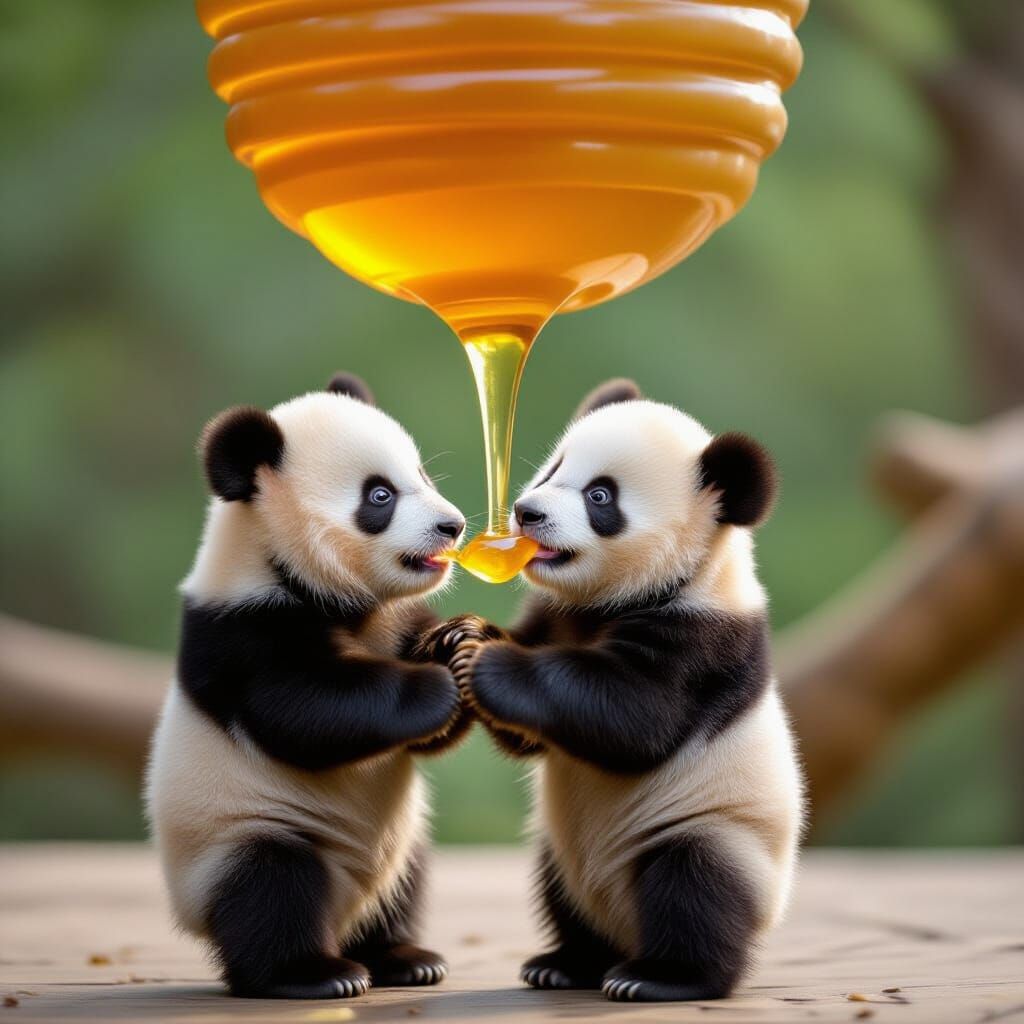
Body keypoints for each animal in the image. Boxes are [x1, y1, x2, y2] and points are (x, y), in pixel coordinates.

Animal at [146, 372, 470, 1000]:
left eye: (421, 474)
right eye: (379, 496)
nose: (453, 526)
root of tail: (341, 914)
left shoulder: (391, 620)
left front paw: (460, 641)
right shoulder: (244, 630)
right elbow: (302, 711)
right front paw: (435, 687)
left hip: (402, 841)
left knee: (405, 884)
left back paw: (402, 957)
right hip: (239, 835)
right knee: (272, 887)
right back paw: (313, 973)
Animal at [431, 379, 804, 1003]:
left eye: (600, 496)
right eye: (553, 469)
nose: (528, 512)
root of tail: (625, 929)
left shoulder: (701, 639)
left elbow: (635, 717)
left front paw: (486, 662)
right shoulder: (559, 613)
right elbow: (539, 735)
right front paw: (461, 635)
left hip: (717, 830)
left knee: (695, 888)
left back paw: (662, 977)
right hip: (561, 850)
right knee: (559, 892)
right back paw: (566, 963)